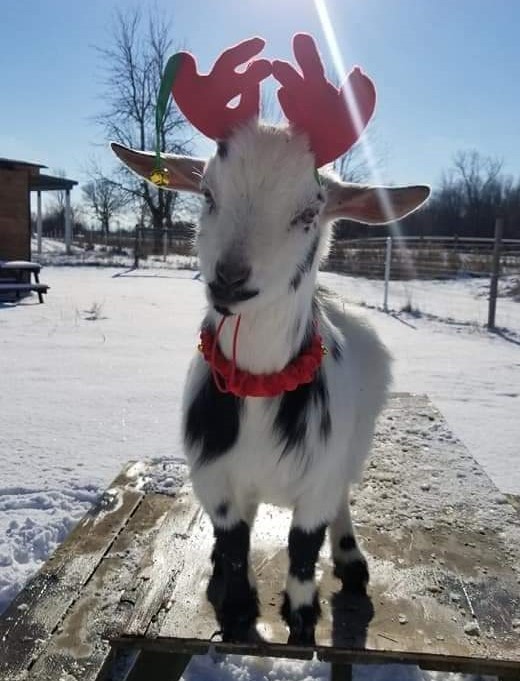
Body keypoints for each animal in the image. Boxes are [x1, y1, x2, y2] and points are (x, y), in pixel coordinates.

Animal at [112, 34, 430, 646]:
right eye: (206, 192)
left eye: (310, 210)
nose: (231, 280)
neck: (259, 387)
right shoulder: (215, 479)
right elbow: (236, 545)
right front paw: (237, 608)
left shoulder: (318, 480)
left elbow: (303, 552)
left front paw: (302, 621)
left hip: (355, 445)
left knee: (343, 504)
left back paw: (351, 562)